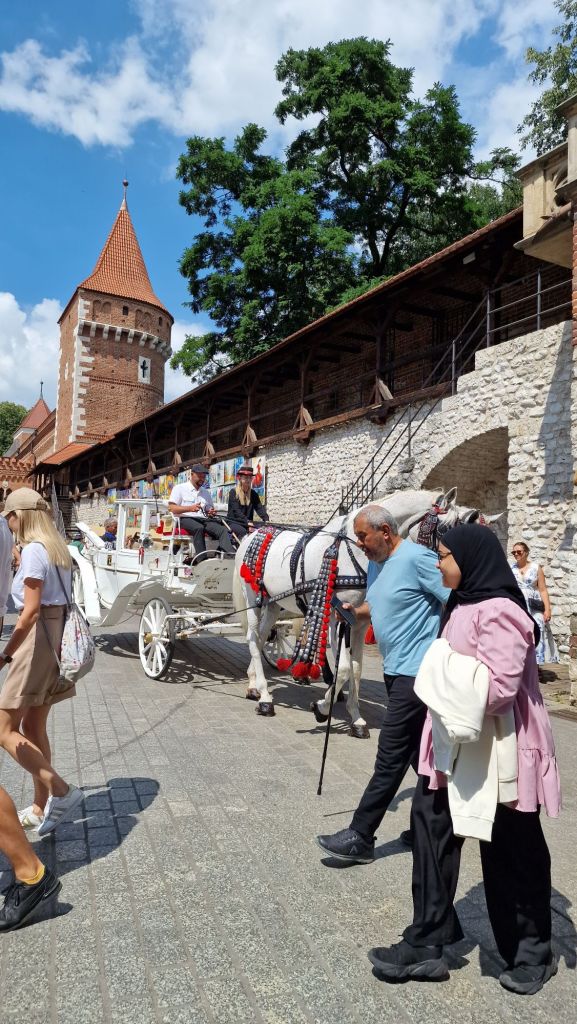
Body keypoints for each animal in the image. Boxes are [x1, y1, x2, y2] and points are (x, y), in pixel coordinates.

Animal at [232, 488, 500, 737]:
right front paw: (322, 707)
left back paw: (253, 684)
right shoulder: (339, 618)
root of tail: (252, 535)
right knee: (253, 639)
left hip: (273, 603)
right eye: (444, 530)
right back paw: (265, 698)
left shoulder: (358, 622)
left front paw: (356, 719)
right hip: (253, 599)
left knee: (261, 637)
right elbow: (343, 669)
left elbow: (356, 667)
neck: (354, 550)